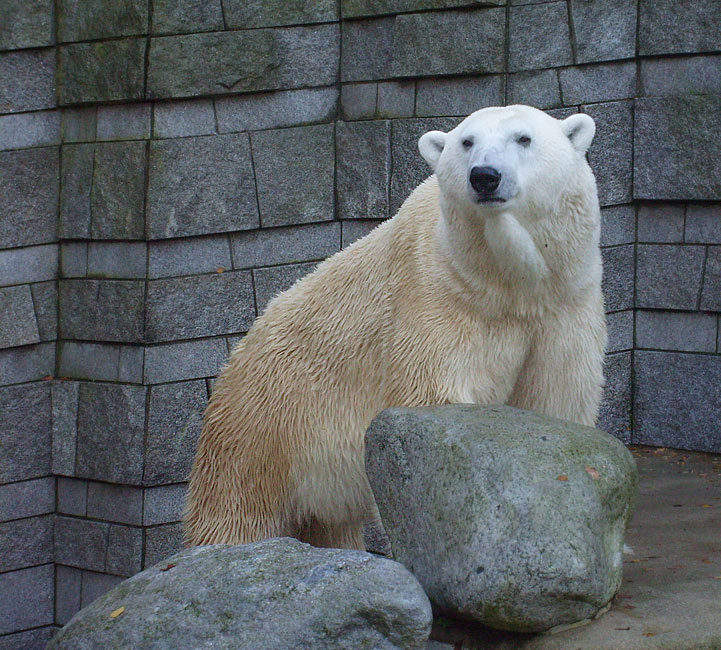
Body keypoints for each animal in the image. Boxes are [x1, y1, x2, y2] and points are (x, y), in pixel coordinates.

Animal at [183, 105, 604, 548]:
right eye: (466, 141)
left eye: (524, 138)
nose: (484, 176)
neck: (506, 284)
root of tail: (233, 361)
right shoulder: (434, 297)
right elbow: (431, 397)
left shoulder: (563, 304)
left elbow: (557, 399)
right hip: (262, 431)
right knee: (235, 517)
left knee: (328, 525)